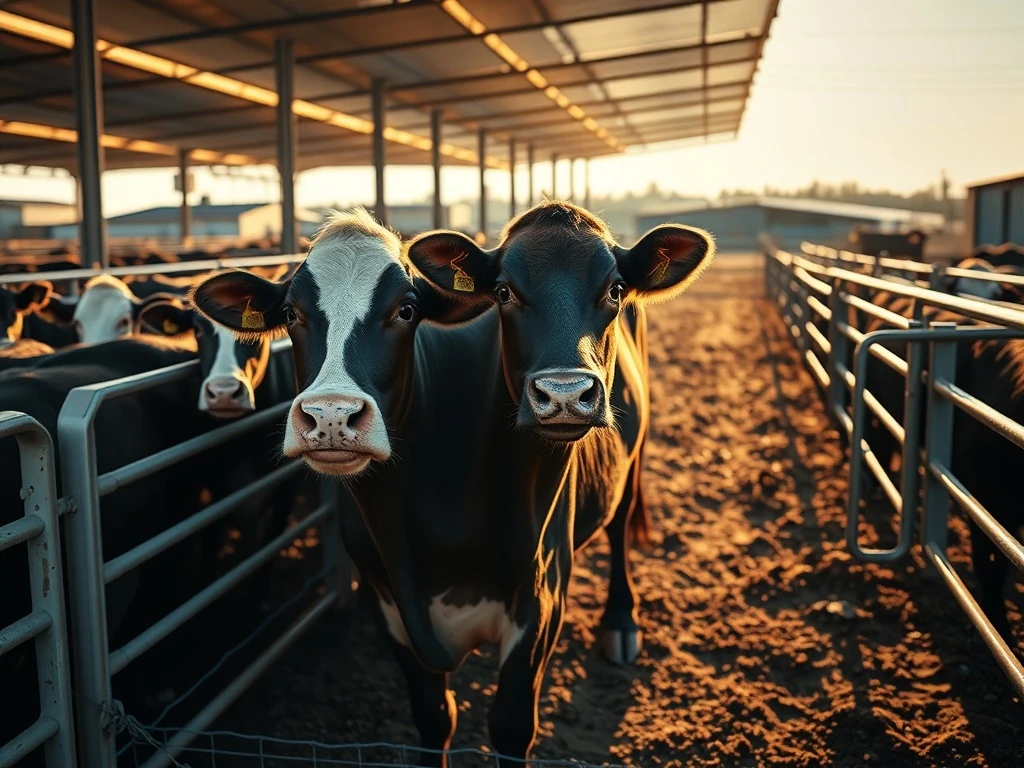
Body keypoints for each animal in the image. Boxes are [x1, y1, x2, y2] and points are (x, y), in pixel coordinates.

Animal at [191, 204, 715, 764]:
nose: (331, 415)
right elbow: (434, 716)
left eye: (406, 310)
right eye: (291, 314)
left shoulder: (541, 596)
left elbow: (510, 726)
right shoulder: (387, 601)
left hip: (633, 456)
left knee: (620, 525)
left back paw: (620, 622)